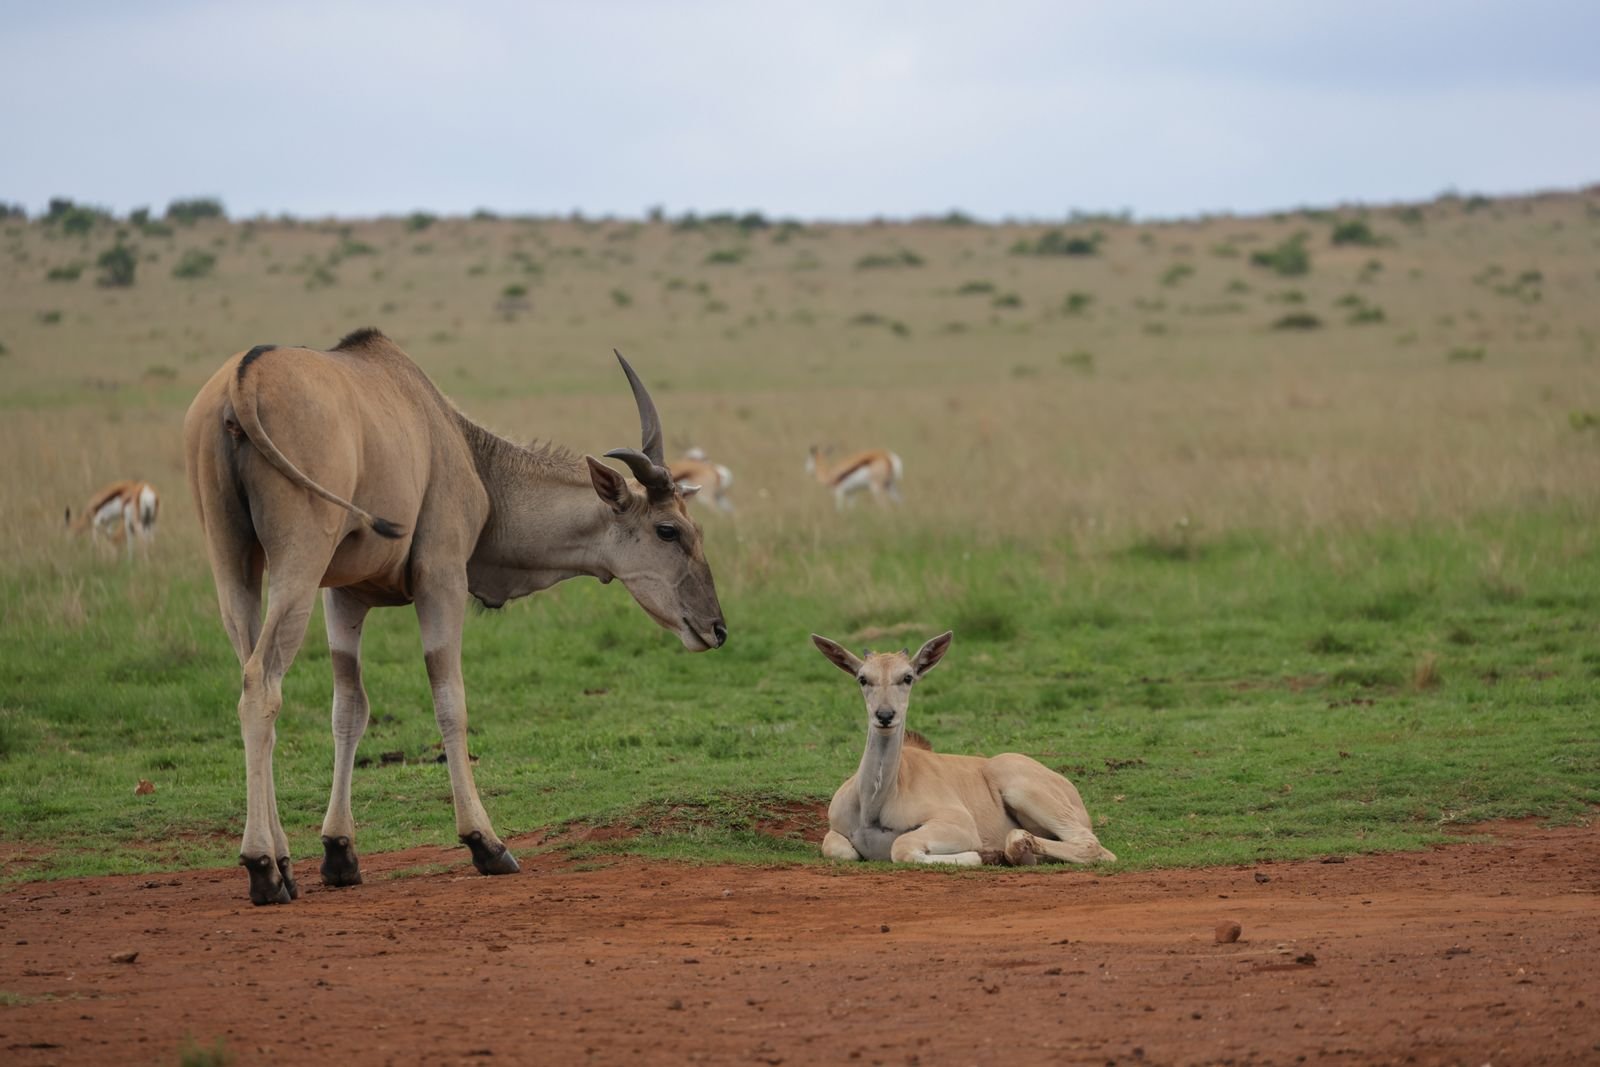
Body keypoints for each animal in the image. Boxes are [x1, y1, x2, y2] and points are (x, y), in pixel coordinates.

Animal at [184, 328, 726, 905]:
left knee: (251, 675)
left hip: (235, 566)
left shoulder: (345, 595)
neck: (467, 453)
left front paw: (339, 853)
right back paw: (262, 866)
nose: (716, 628)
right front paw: (486, 843)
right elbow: (450, 701)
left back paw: (281, 864)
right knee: (262, 682)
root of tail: (242, 381)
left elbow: (348, 708)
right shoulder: (441, 578)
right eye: (668, 531)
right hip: (298, 562)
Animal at [813, 631, 1115, 866]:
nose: (885, 715)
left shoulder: (959, 825)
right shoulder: (835, 831)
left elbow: (901, 847)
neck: (873, 804)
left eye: (908, 677)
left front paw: (987, 855)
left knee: (1092, 845)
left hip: (1014, 778)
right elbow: (837, 849)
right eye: (863, 678)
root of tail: (1072, 792)